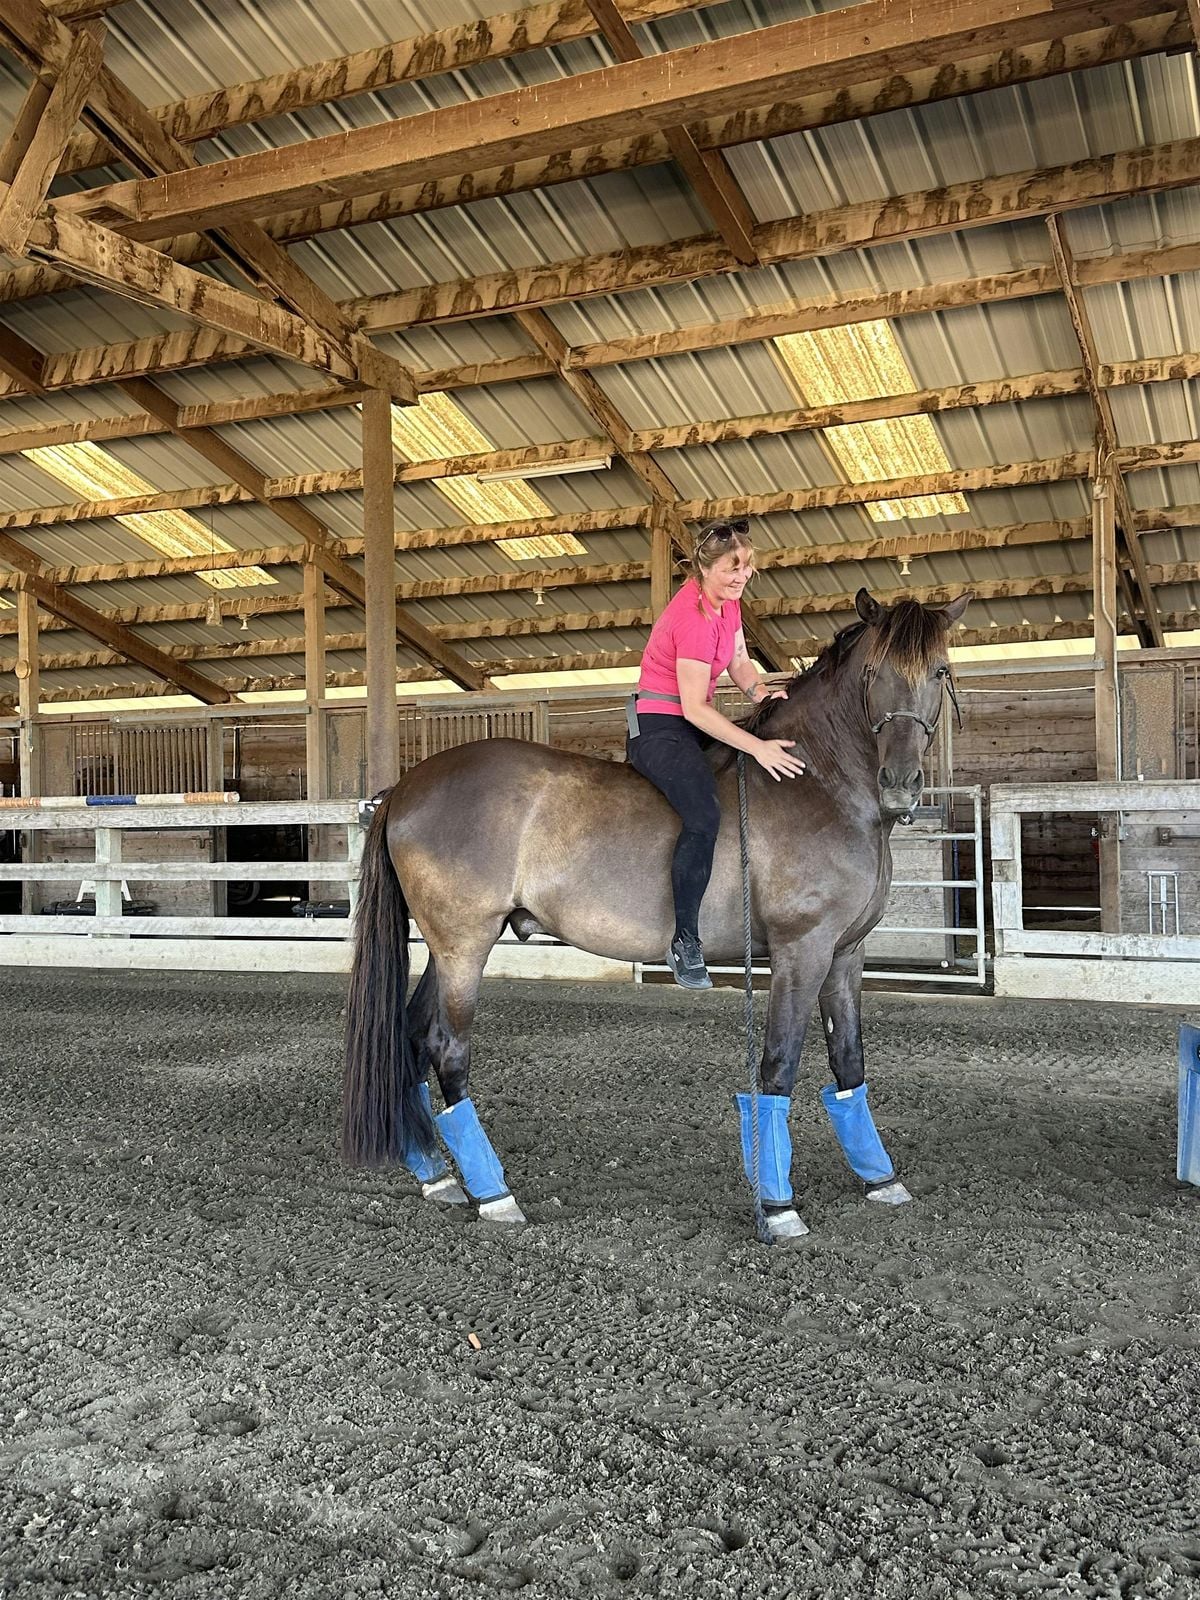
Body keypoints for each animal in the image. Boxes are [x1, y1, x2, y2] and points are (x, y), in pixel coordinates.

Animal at [343, 588, 969, 1239]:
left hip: (445, 948)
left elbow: (849, 1062)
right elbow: (778, 1064)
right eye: (874, 674)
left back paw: (435, 1174)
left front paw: (881, 1180)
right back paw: (494, 1194)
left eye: (940, 671)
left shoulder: (846, 953)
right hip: (465, 945)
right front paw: (778, 1207)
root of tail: (406, 786)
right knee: (447, 1048)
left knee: (412, 1038)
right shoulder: (803, 950)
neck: (817, 782)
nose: (901, 784)